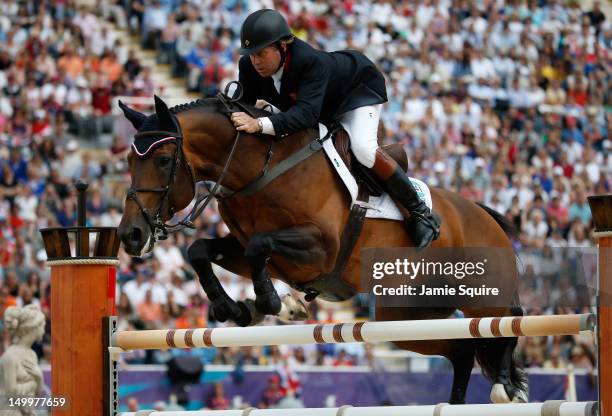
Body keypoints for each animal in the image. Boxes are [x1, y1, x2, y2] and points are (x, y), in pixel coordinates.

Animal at [116, 95, 524, 406]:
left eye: (163, 160)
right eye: (129, 161)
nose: (131, 235)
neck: (259, 169)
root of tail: (484, 215)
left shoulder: (320, 249)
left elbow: (259, 247)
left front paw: (270, 302)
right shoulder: (250, 249)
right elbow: (201, 250)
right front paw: (236, 308)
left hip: (478, 297)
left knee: (507, 319)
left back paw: (504, 386)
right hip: (407, 316)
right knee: (461, 350)